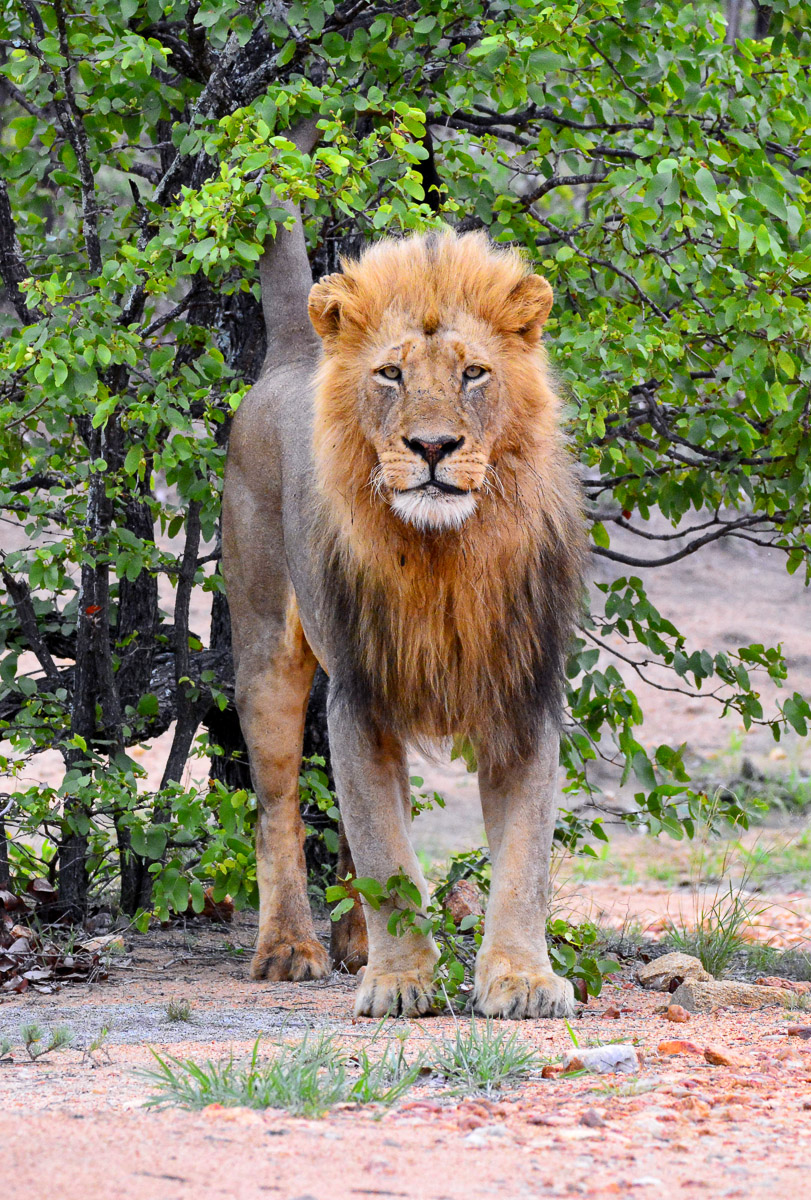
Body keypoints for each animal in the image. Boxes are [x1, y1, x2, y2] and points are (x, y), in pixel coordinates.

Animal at [222, 123, 586, 1019]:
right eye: (390, 373)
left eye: (473, 373)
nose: (431, 446)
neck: (442, 554)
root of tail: (291, 355)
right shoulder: (361, 695)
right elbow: (387, 854)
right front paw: (400, 982)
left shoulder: (523, 696)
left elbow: (521, 865)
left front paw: (522, 980)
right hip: (267, 654)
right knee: (280, 808)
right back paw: (291, 948)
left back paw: (353, 942)